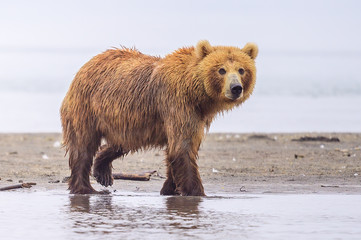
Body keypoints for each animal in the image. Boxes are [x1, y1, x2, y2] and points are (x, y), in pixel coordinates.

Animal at [60, 40, 258, 195]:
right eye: (221, 70)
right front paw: (196, 192)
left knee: (121, 142)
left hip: (127, 121)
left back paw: (103, 173)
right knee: (83, 146)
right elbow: (183, 148)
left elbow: (176, 149)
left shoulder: (196, 115)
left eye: (242, 70)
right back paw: (85, 188)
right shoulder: (177, 103)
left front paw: (170, 189)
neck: (197, 94)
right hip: (87, 107)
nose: (236, 88)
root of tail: (87, 64)